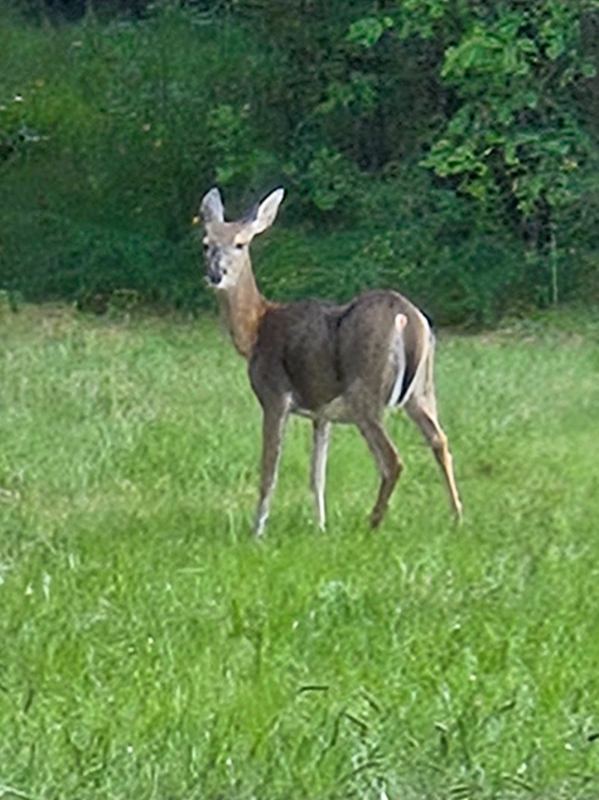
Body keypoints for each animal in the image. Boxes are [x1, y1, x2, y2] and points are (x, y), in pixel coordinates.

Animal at [199, 188, 462, 536]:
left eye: (241, 243)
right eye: (206, 243)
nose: (215, 275)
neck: (256, 328)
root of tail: (406, 315)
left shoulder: (274, 395)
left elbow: (269, 472)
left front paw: (257, 531)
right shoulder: (321, 413)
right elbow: (317, 474)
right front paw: (321, 526)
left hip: (366, 391)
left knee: (393, 460)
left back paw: (373, 521)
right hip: (421, 389)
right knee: (439, 440)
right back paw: (457, 516)